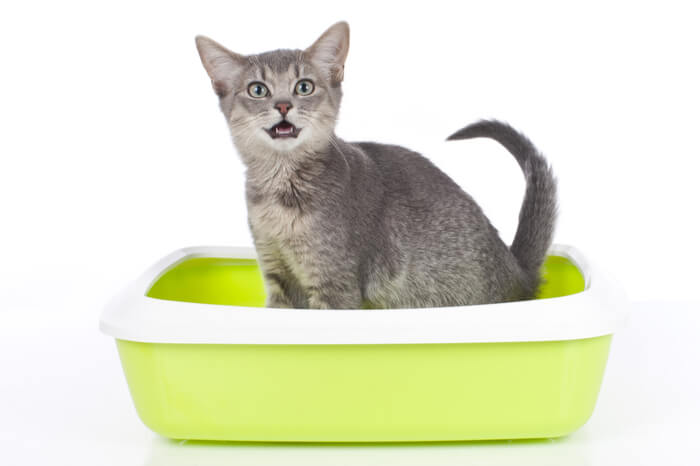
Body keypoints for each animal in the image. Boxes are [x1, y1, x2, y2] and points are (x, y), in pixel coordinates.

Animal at [194, 23, 556, 312]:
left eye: (304, 86)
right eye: (258, 90)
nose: (283, 105)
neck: (281, 196)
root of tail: (518, 272)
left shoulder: (335, 284)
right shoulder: (277, 274)